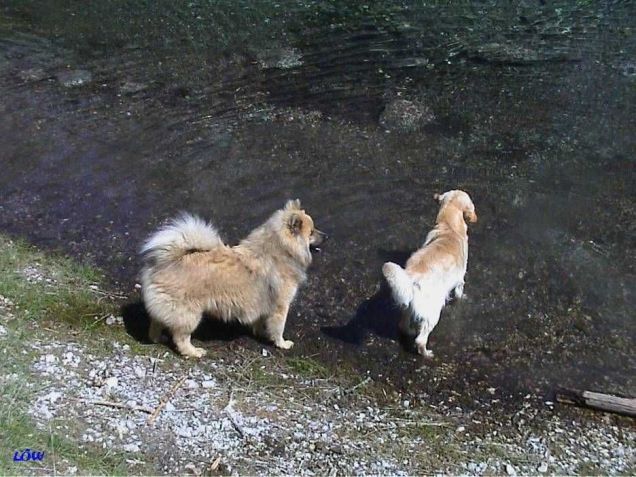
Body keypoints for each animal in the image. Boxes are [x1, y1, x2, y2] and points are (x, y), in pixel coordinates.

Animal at [382, 190, 476, 356]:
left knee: (402, 325)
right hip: (433, 312)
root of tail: (412, 276)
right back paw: (426, 354)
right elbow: (459, 293)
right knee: (420, 339)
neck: (449, 227)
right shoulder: (460, 279)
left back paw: (409, 332)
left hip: (408, 306)